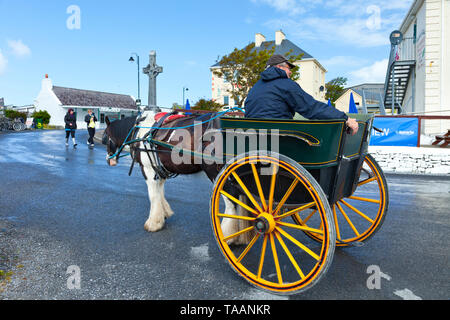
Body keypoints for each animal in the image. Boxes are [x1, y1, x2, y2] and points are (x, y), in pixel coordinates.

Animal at [103, 110, 255, 245]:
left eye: (105, 137)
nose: (109, 160)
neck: (140, 131)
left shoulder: (147, 169)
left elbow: (153, 194)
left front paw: (153, 223)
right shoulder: (160, 169)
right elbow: (160, 191)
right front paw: (164, 213)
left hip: (216, 172)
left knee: (231, 198)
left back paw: (228, 235)